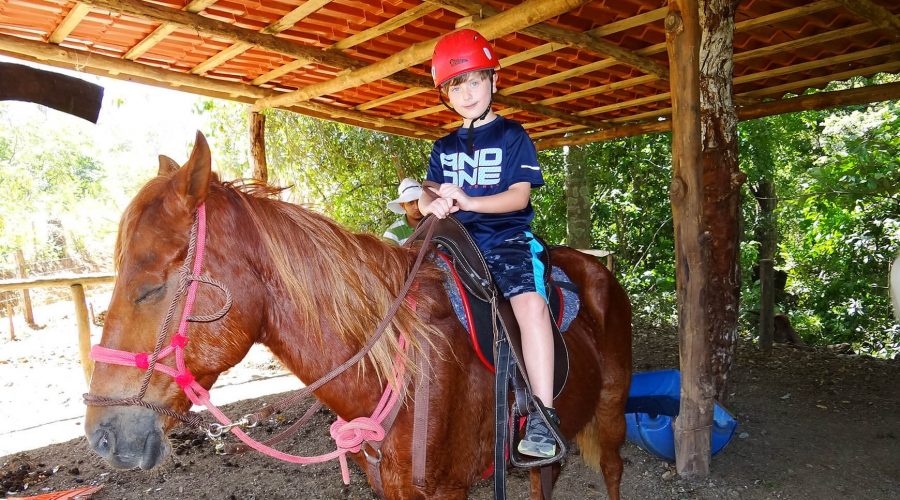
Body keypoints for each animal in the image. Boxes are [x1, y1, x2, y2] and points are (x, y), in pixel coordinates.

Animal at [84, 133, 632, 500]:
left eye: (149, 288)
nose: (101, 437)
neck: (404, 367)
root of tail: (596, 267)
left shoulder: (449, 489)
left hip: (610, 410)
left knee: (612, 469)